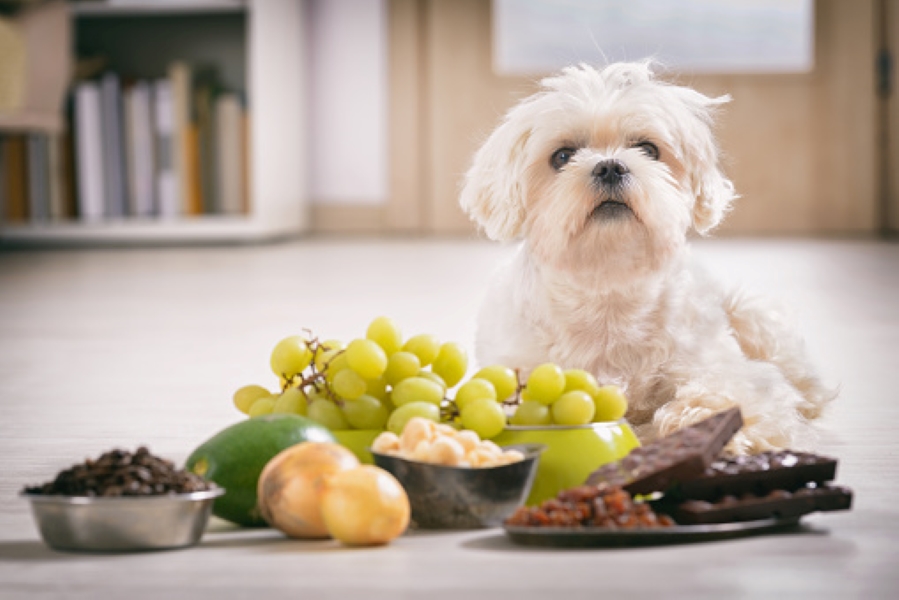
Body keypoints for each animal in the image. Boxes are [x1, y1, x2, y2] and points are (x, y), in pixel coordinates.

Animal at [464, 62, 836, 454]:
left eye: (648, 149)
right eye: (562, 156)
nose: (610, 166)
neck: (609, 285)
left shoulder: (728, 371)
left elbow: (727, 394)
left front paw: (706, 426)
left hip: (751, 315)